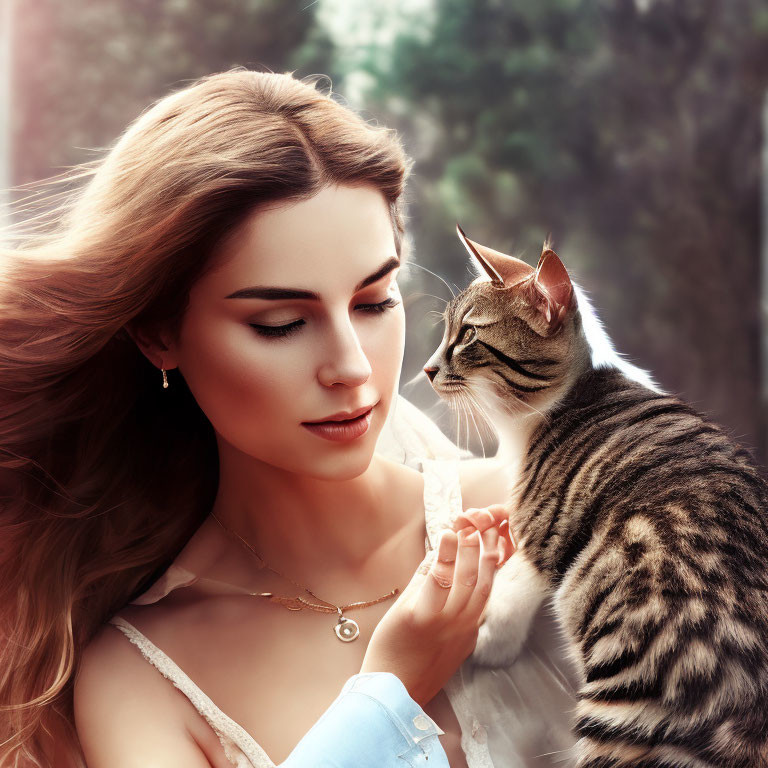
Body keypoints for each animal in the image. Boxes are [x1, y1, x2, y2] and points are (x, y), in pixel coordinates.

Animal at [424, 225, 768, 764]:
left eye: (469, 336)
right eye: (446, 332)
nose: (426, 368)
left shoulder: (542, 532)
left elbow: (511, 596)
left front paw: (483, 640)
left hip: (624, 706)